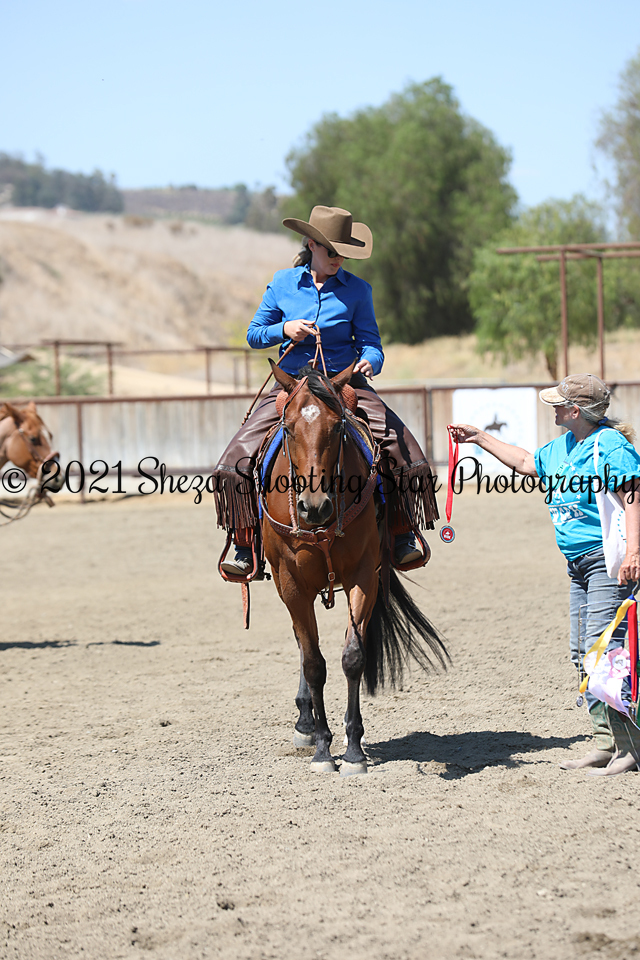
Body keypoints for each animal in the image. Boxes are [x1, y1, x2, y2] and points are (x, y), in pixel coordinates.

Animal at [259, 361, 448, 776]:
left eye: (337, 426)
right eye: (288, 428)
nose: (314, 506)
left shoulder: (363, 576)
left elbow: (352, 657)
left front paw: (354, 750)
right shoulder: (292, 584)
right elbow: (314, 663)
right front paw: (322, 749)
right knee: (303, 647)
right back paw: (306, 724)